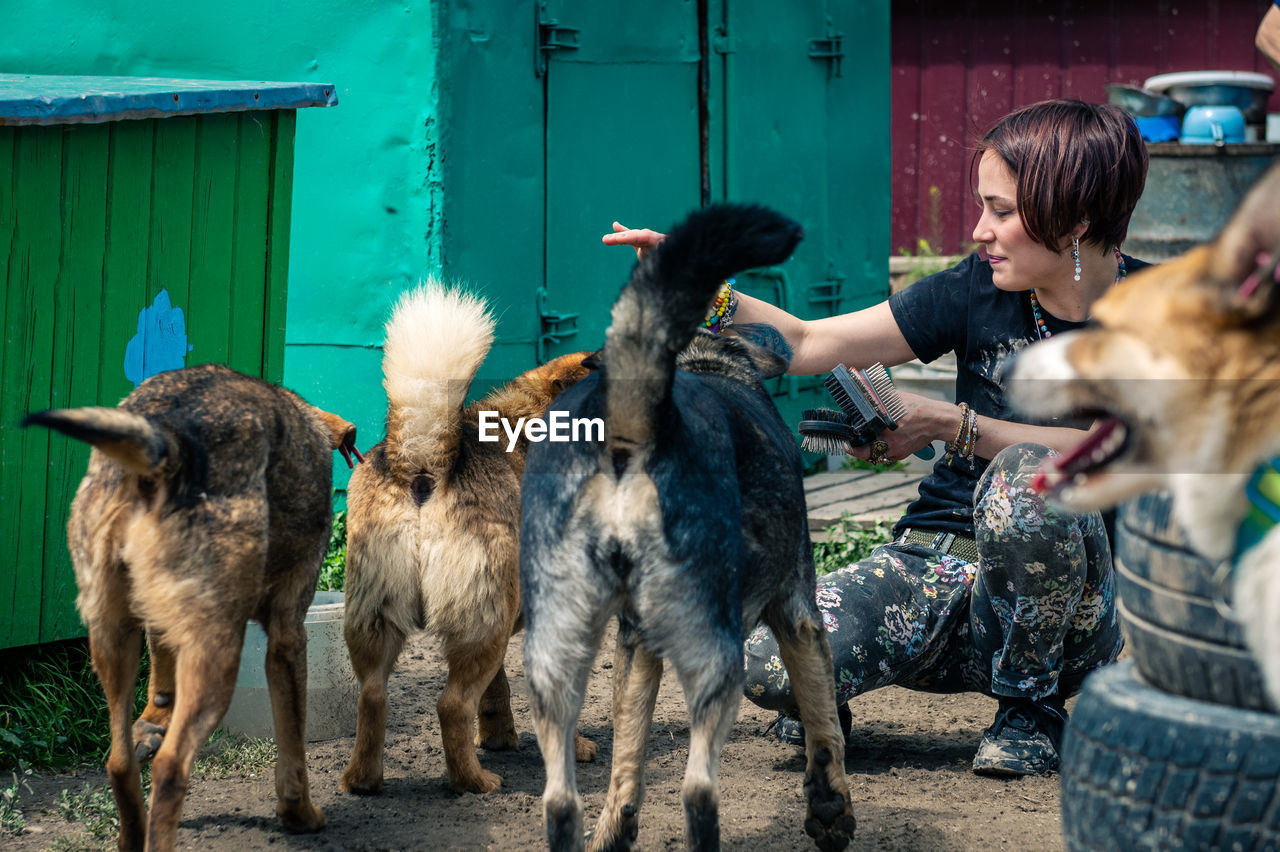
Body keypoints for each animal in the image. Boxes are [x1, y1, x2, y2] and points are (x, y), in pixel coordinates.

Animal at [26, 363, 366, 849]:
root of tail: (169, 438)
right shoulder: (288, 636)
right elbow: (293, 744)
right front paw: (299, 813)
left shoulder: (160, 624)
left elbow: (160, 681)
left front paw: (154, 720)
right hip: (219, 656)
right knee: (171, 767)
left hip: (112, 636)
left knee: (119, 761)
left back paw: (132, 830)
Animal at [340, 281, 599, 793]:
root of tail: (423, 459)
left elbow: (497, 690)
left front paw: (499, 737)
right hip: (485, 623)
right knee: (451, 704)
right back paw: (473, 781)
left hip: (380, 619)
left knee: (373, 696)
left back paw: (364, 780)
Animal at [514, 202, 855, 844]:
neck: (707, 364)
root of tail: (647, 427)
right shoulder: (799, 614)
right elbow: (823, 721)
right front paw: (829, 809)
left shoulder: (636, 644)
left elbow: (628, 756)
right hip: (719, 656)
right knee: (698, 789)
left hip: (558, 650)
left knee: (566, 798)